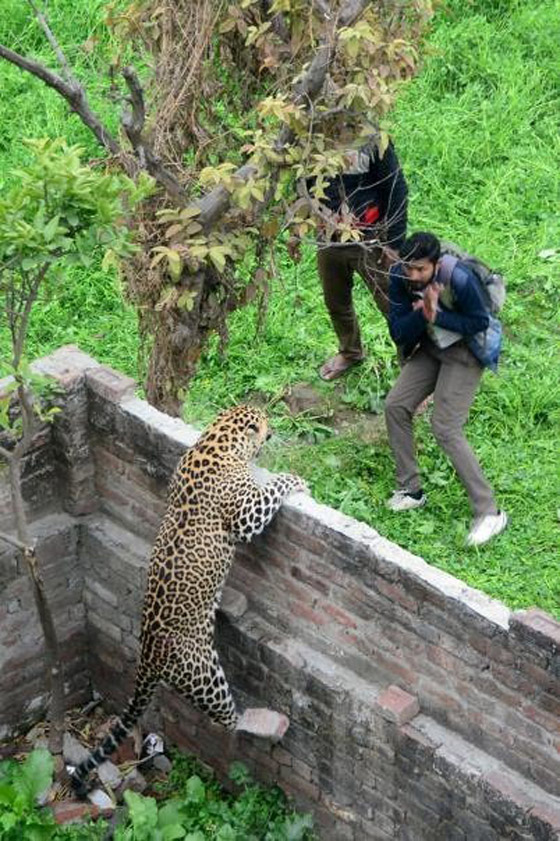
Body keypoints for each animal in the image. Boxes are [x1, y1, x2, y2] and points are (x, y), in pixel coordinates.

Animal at [71, 402, 306, 796]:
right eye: (263, 425)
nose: (272, 433)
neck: (217, 438)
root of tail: (146, 659)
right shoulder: (246, 513)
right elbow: (272, 490)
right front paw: (295, 479)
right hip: (203, 675)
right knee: (228, 721)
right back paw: (265, 723)